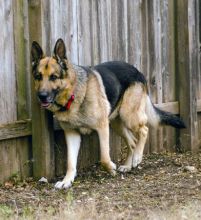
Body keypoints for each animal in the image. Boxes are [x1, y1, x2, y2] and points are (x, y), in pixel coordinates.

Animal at [31, 38, 185, 189]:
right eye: (38, 77)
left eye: (53, 77)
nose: (41, 96)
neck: (73, 94)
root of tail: (137, 71)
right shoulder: (71, 134)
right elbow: (70, 162)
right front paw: (67, 181)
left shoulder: (102, 127)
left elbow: (104, 157)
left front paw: (111, 167)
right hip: (117, 123)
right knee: (132, 142)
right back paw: (128, 165)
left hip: (128, 115)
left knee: (144, 130)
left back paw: (137, 157)